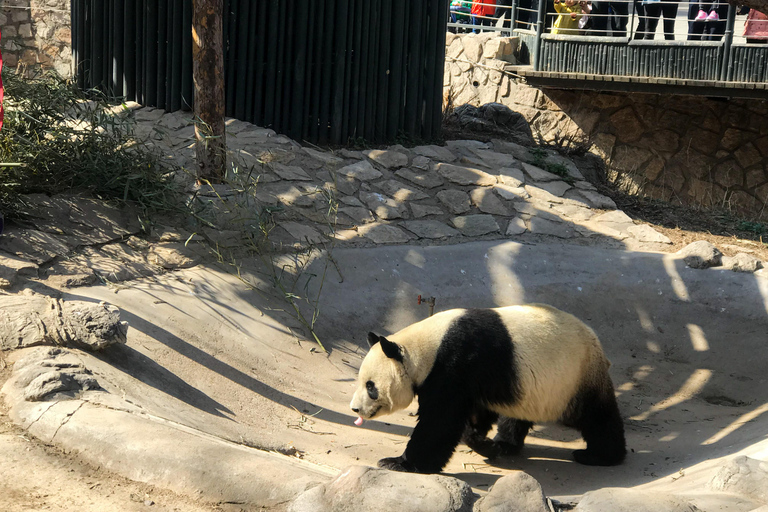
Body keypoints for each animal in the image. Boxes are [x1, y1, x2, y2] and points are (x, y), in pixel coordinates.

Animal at [352, 302, 628, 474]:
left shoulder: (457, 362)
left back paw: (600, 456)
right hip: (528, 385)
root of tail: (594, 339)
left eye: (371, 386)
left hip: (573, 377)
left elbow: (440, 421)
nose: (355, 409)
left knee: (596, 416)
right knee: (517, 415)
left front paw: (398, 463)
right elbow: (473, 414)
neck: (426, 346)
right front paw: (483, 442)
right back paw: (505, 444)